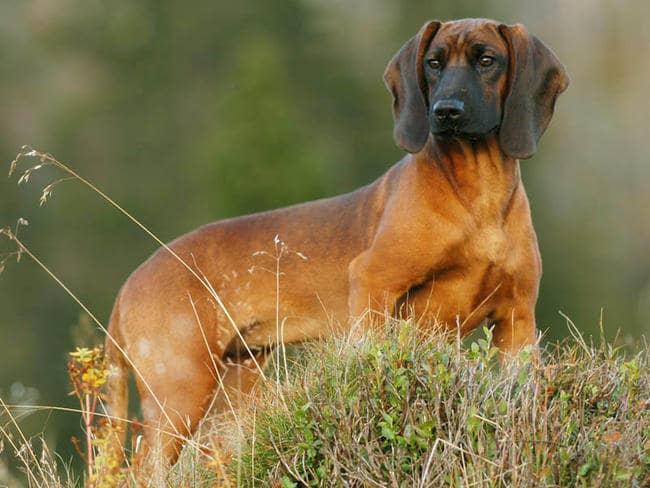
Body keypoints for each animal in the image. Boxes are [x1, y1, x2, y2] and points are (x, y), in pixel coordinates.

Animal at [104, 19, 564, 466]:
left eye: (487, 60)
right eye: (433, 63)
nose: (445, 110)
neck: (478, 195)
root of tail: (126, 288)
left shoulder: (517, 322)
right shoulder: (374, 282)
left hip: (232, 390)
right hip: (180, 394)